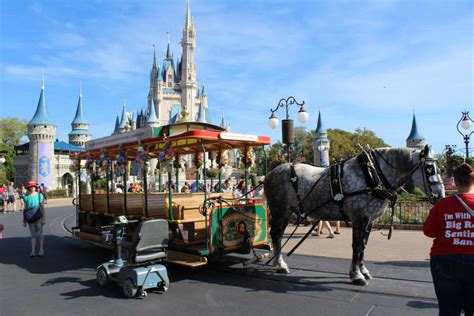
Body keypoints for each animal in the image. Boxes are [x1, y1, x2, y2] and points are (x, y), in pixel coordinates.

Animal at [264, 146, 446, 286]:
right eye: (429, 168)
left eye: (440, 169)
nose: (440, 195)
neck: (371, 175)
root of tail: (270, 173)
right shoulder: (360, 218)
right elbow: (357, 246)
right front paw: (356, 275)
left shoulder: (369, 220)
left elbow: (363, 246)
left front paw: (363, 271)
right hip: (280, 210)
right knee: (276, 234)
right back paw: (280, 265)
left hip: (287, 211)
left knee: (278, 234)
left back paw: (277, 262)